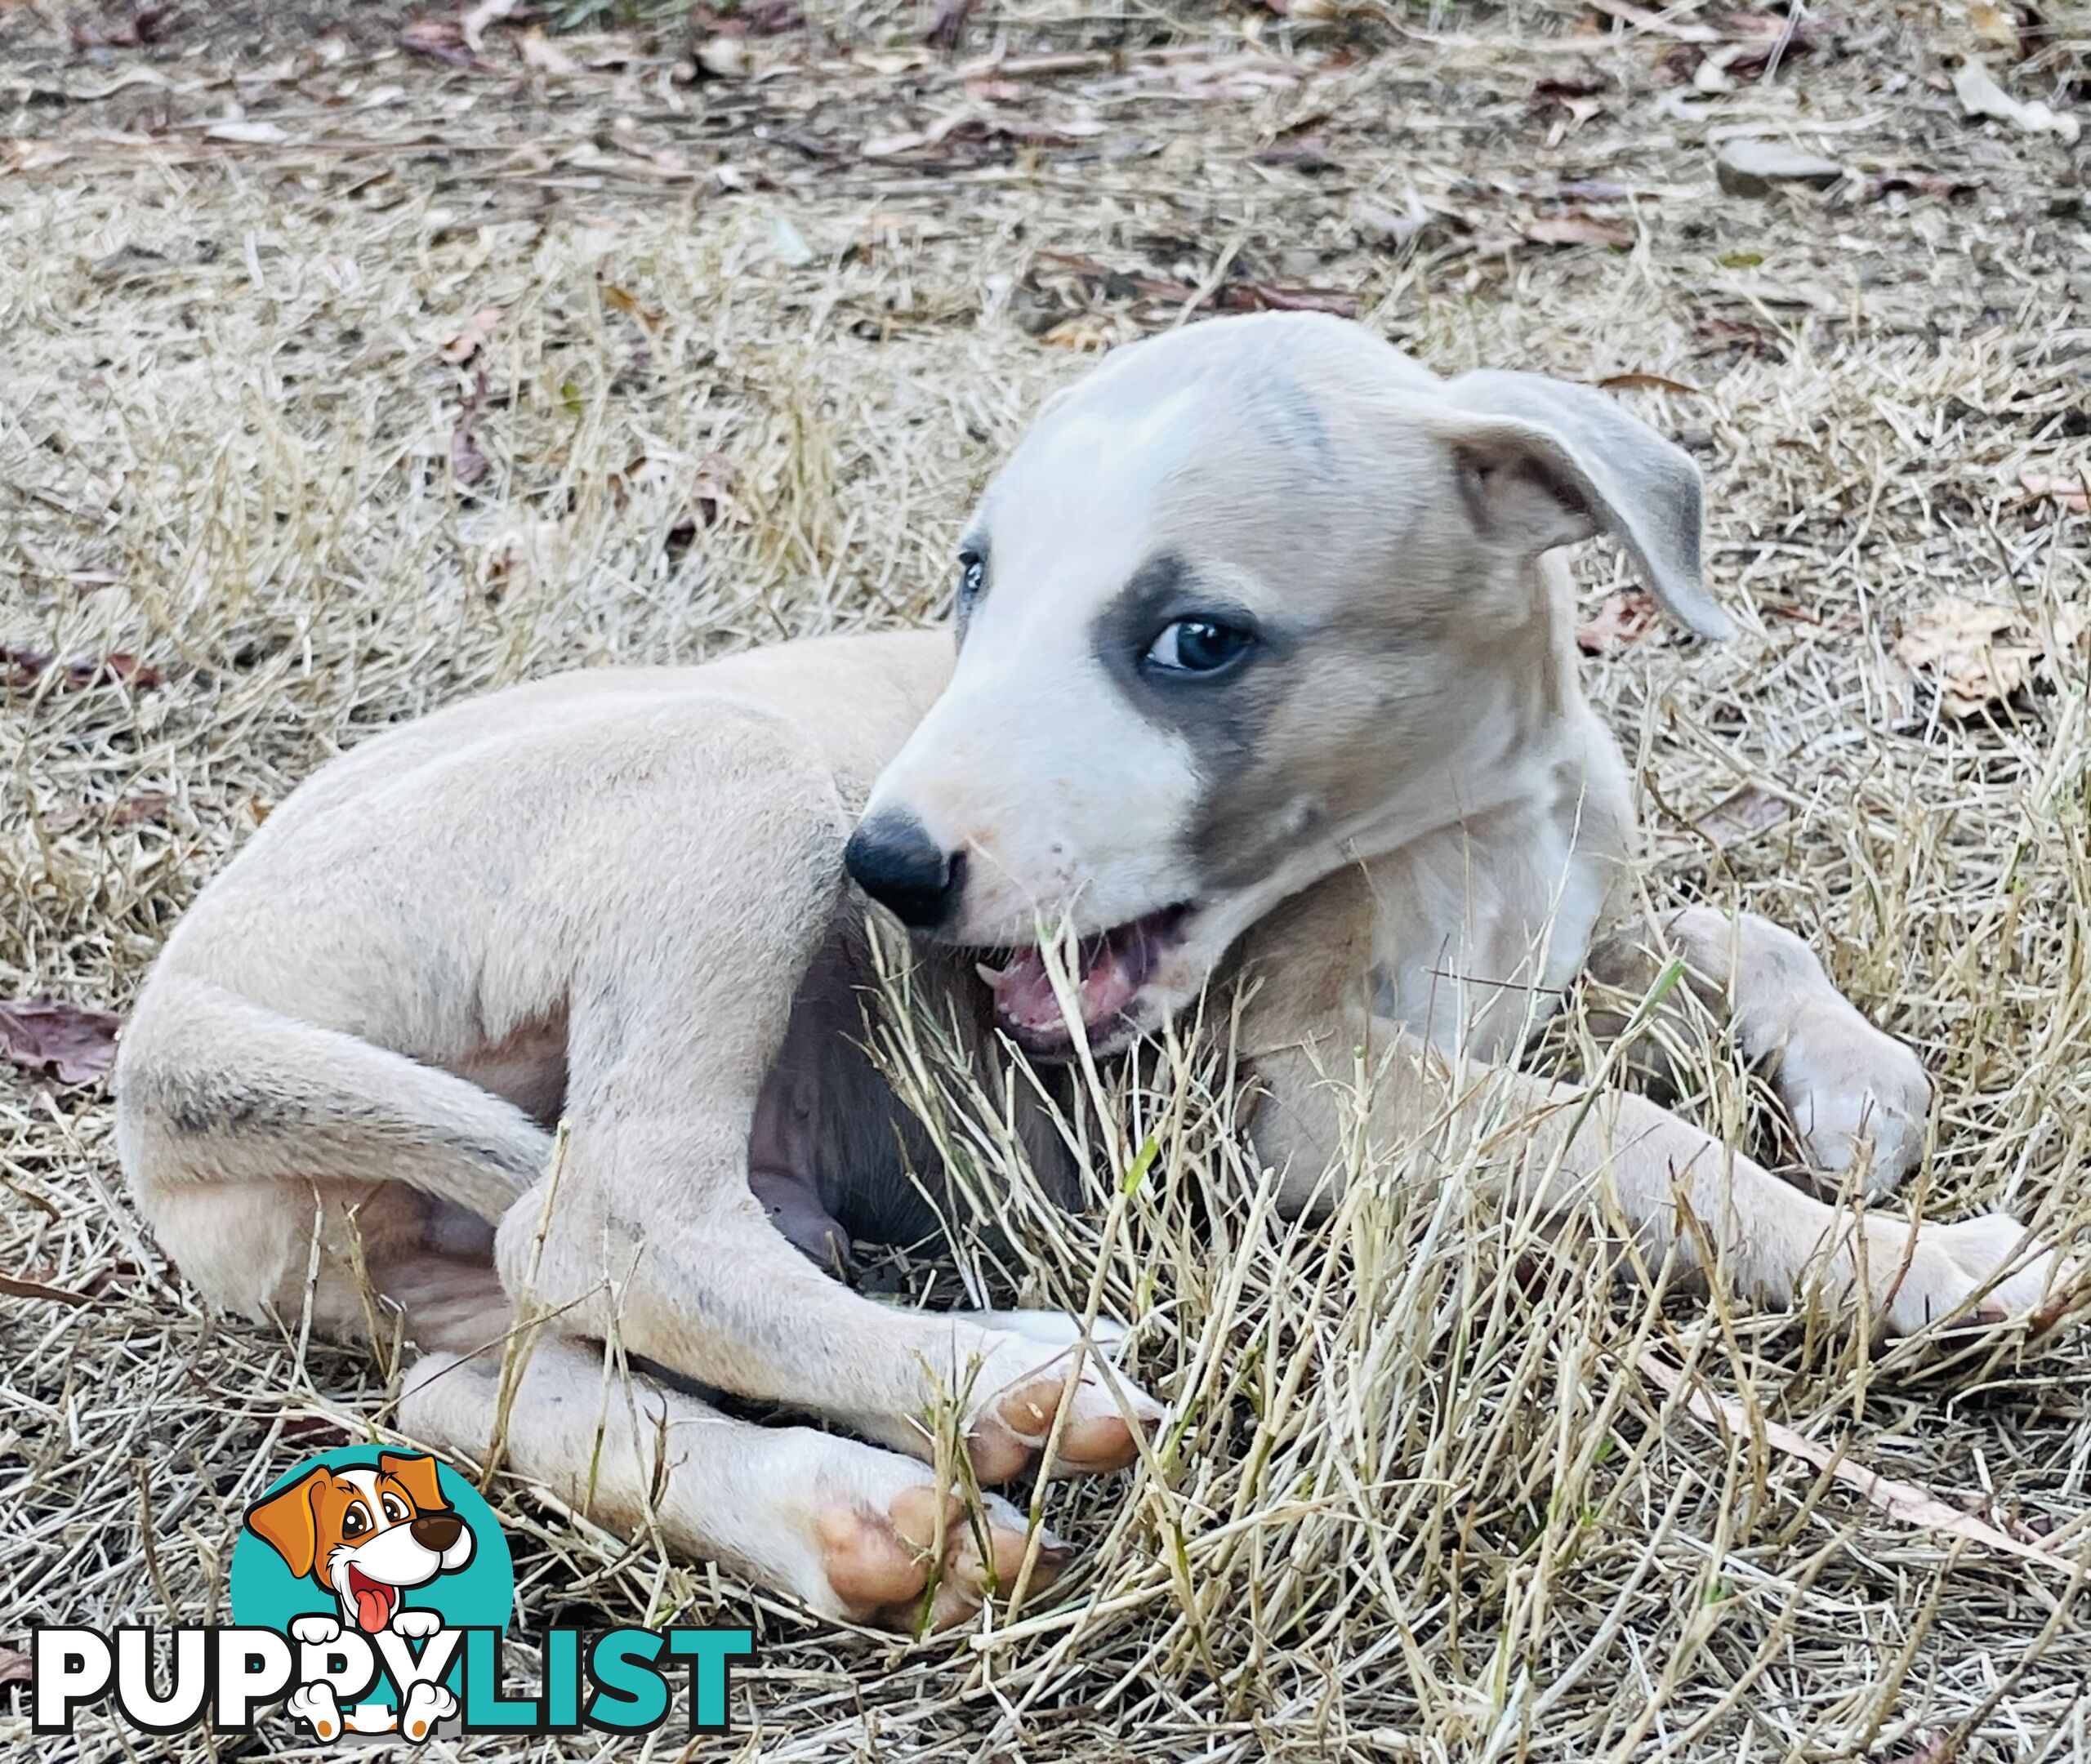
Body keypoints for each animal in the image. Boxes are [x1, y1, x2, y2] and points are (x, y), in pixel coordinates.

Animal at [114, 313, 2058, 1630]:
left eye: (1195, 640)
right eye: (975, 582)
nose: (890, 873)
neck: (1471, 822)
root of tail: (165, 1035)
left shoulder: (1586, 929)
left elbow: (1741, 935)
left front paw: (1860, 1097)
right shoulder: (1298, 1087)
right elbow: (1625, 1135)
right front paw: (1909, 1267)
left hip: (413, 1259)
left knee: (485, 1377)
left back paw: (869, 1516)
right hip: (725, 775)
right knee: (608, 1224)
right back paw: (1000, 1388)